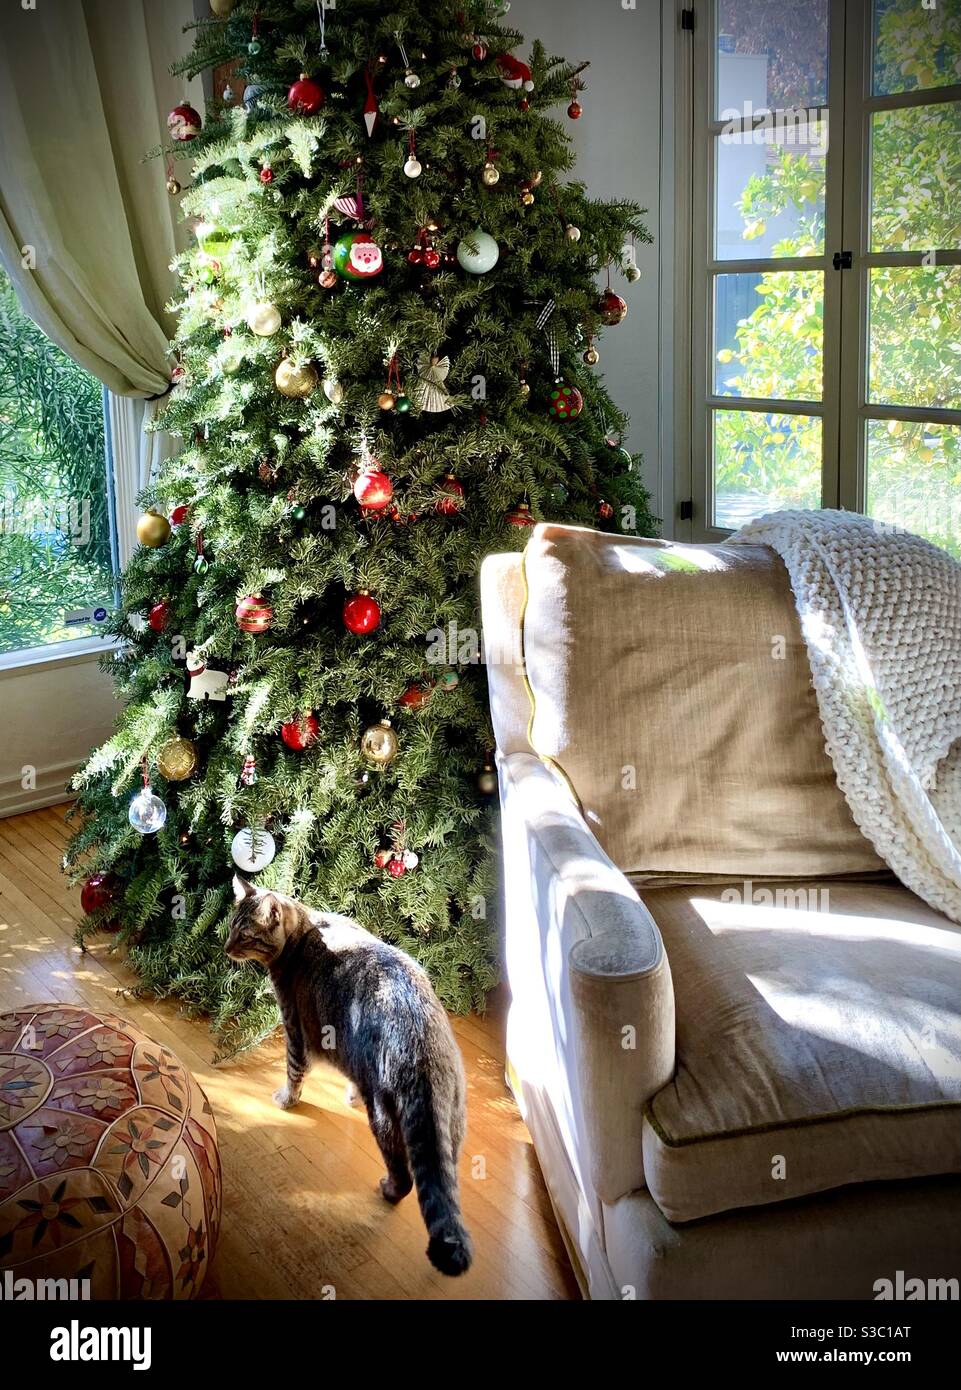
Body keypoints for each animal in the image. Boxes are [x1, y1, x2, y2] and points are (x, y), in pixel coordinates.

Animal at [221, 872, 470, 1273]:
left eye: (245, 935)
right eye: (230, 926)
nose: (226, 947)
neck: (305, 928)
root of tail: (419, 1039)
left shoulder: (295, 1028)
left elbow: (293, 1072)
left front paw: (286, 1100)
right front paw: (348, 1095)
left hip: (384, 1118)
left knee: (405, 1177)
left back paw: (388, 1189)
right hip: (452, 1123)